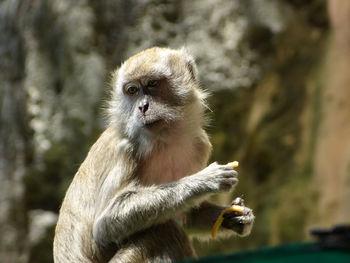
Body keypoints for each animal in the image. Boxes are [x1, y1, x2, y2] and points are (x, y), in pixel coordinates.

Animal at [52, 48, 254, 263]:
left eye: (152, 84)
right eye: (132, 90)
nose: (142, 107)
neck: (165, 139)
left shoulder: (201, 144)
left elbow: (188, 216)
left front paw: (237, 217)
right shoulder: (125, 149)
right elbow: (104, 226)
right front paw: (206, 180)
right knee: (163, 231)